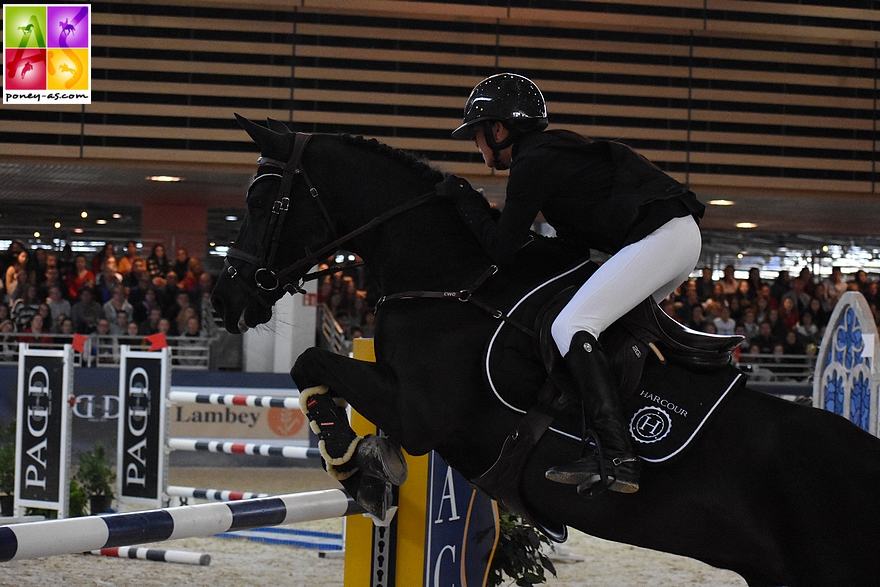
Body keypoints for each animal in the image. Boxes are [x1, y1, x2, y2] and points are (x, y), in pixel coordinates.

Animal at [211, 116, 880, 587]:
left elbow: (309, 362)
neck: (457, 282)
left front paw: (362, 471)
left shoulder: (424, 413)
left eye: (259, 202)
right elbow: (314, 369)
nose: (224, 301)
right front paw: (367, 464)